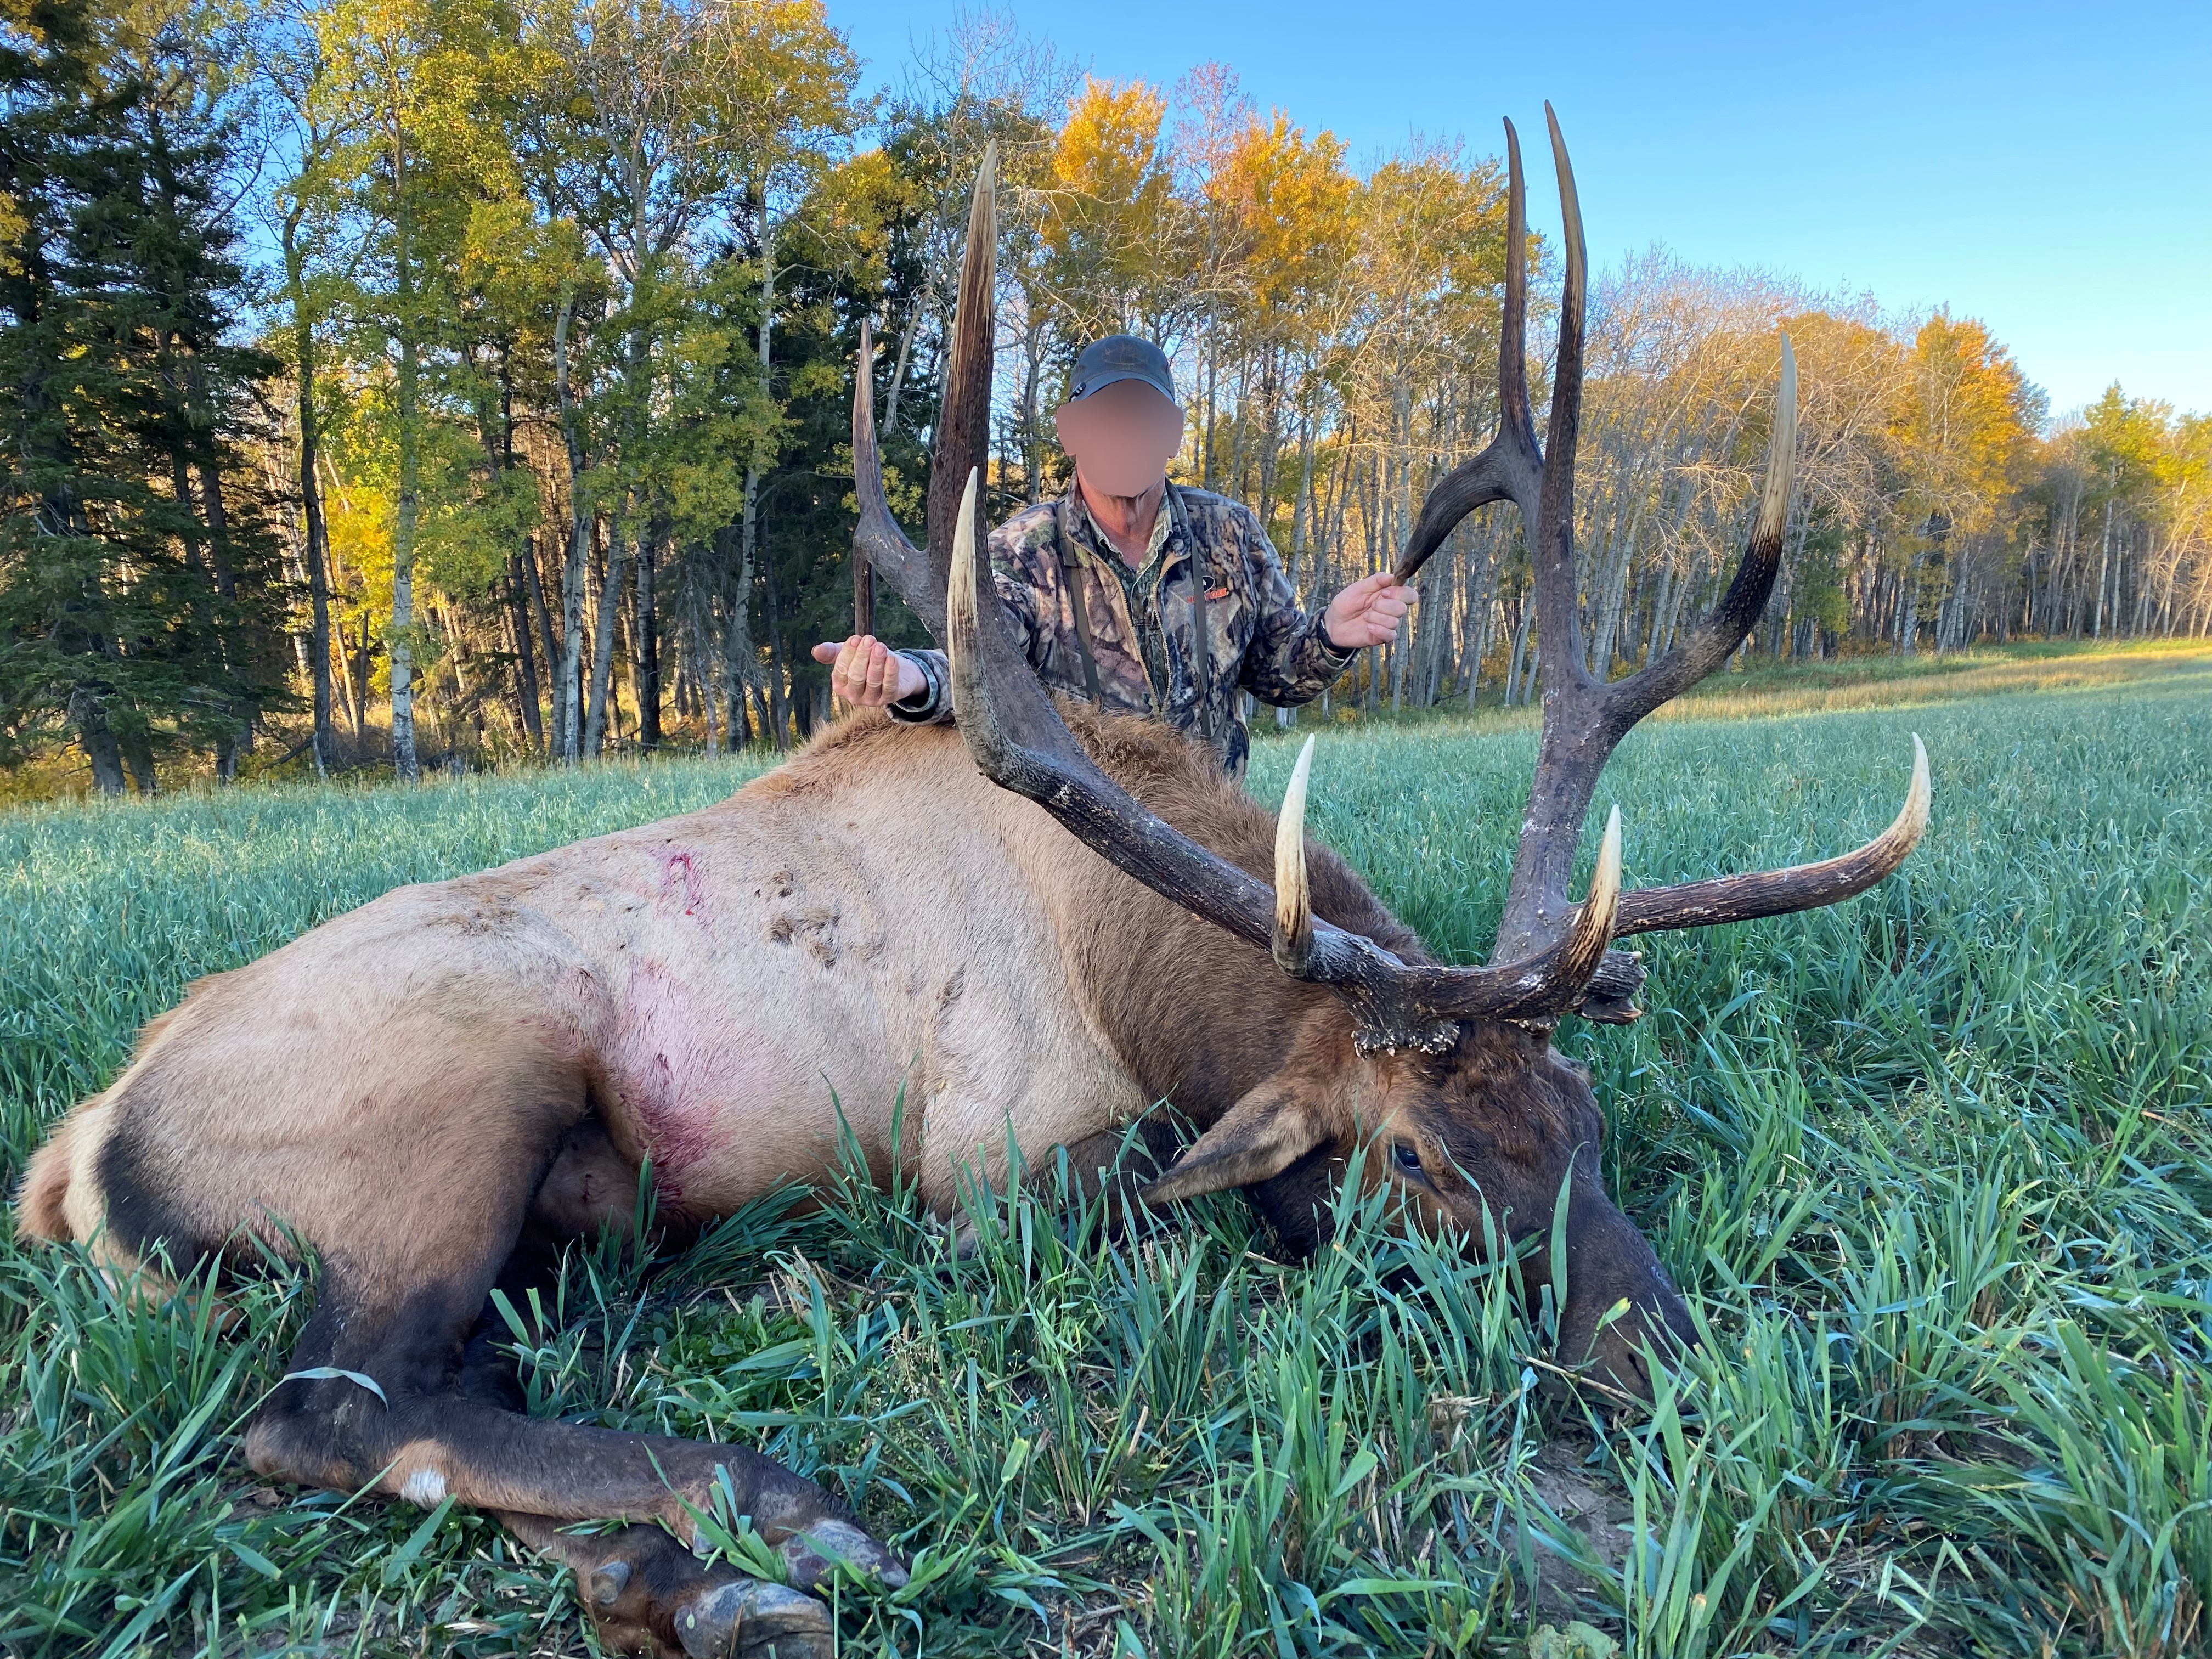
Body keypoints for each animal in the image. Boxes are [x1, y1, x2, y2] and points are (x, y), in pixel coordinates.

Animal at [14, 110, 1927, 1659]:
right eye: (1420, 1162)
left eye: (1587, 1120)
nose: (1695, 1382)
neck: (1122, 957)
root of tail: (78, 1150)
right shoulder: (993, 1161)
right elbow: (1183, 1210)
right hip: (459, 1083)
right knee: (324, 1410)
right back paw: (781, 1508)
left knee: (445, 1384)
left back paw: (687, 1578)